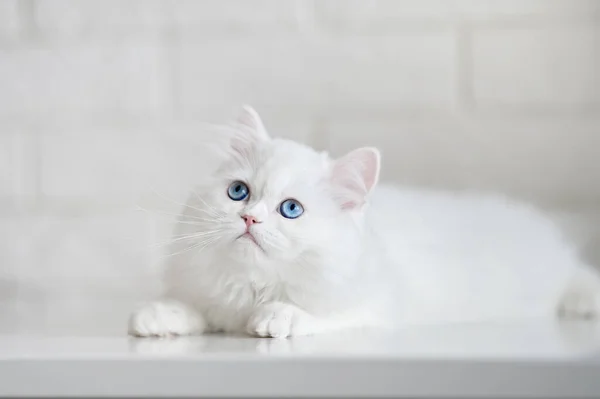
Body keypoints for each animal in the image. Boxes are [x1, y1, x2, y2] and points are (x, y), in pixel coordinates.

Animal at [130, 105, 600, 338]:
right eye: (238, 192)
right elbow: (193, 309)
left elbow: (314, 314)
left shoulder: (371, 309)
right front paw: (157, 317)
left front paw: (275, 318)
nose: (248, 218)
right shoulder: (209, 297)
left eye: (290, 209)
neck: (252, 286)